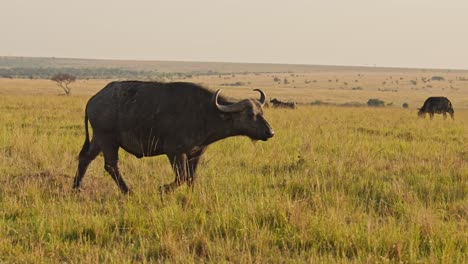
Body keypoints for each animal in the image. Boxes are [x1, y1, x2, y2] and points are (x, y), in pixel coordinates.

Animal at [71, 81, 272, 195]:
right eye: (250, 115)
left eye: (261, 112)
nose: (270, 132)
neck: (206, 113)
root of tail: (93, 100)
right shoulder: (174, 152)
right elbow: (181, 178)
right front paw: (162, 189)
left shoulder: (195, 153)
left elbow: (191, 178)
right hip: (108, 140)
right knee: (111, 166)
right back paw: (128, 192)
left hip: (98, 139)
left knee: (85, 158)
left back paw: (76, 188)